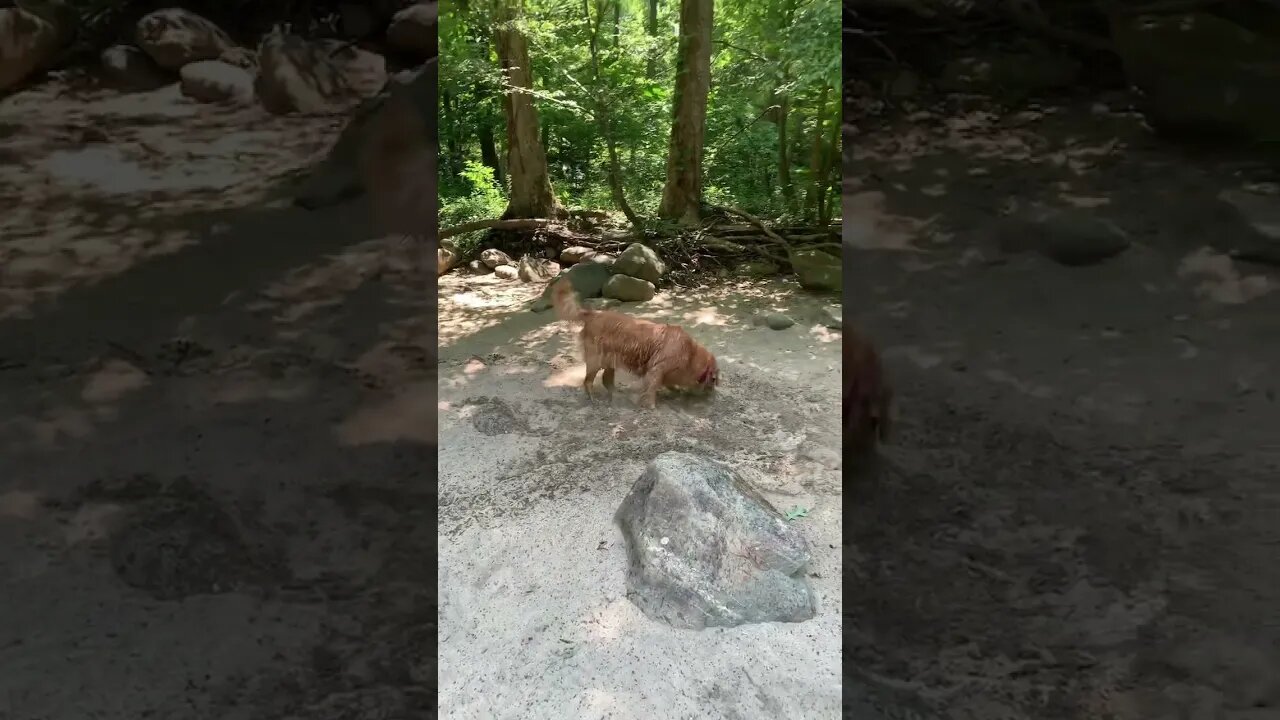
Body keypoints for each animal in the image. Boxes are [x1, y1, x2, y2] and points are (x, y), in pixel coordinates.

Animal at [552, 279, 721, 407]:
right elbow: (652, 389)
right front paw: (651, 406)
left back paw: (616, 395)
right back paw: (593, 398)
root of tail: (593, 313)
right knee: (588, 382)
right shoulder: (656, 369)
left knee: (606, 380)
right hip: (595, 359)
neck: (690, 353)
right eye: (714, 378)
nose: (713, 394)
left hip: (610, 360)